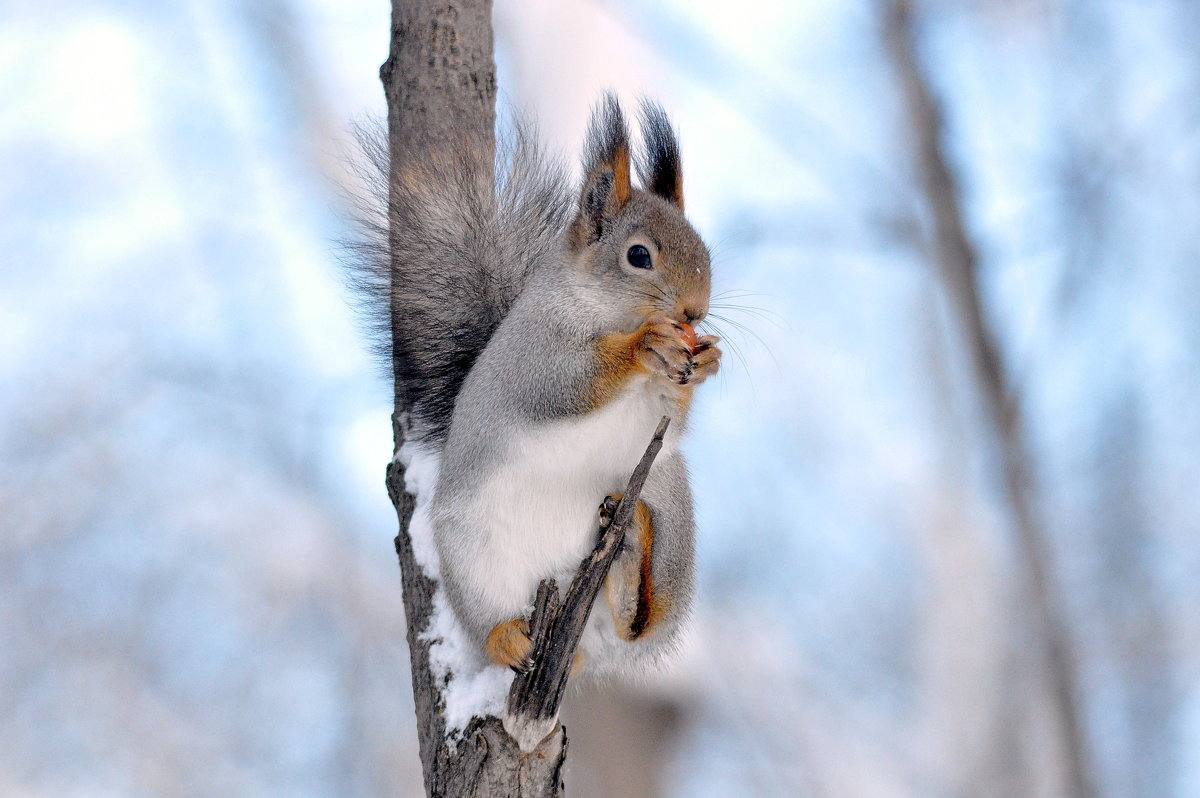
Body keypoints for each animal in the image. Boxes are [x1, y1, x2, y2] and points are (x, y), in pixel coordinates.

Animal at [355, 94, 720, 676]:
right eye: (638, 255)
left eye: (703, 249)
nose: (695, 311)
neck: (601, 312)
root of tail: (582, 641)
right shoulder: (530, 359)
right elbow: (568, 383)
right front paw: (644, 346)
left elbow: (668, 418)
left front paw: (705, 361)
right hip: (473, 558)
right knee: (494, 623)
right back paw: (507, 638)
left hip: (670, 521)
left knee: (639, 626)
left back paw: (629, 561)